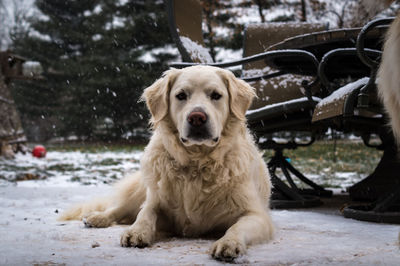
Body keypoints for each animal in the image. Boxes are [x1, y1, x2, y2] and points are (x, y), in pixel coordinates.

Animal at [59, 65, 274, 260]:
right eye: (181, 95)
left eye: (216, 95)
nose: (197, 118)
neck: (197, 162)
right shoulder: (155, 200)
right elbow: (145, 213)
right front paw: (137, 231)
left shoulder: (256, 215)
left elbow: (237, 227)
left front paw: (228, 243)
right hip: (140, 189)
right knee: (119, 208)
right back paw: (97, 217)